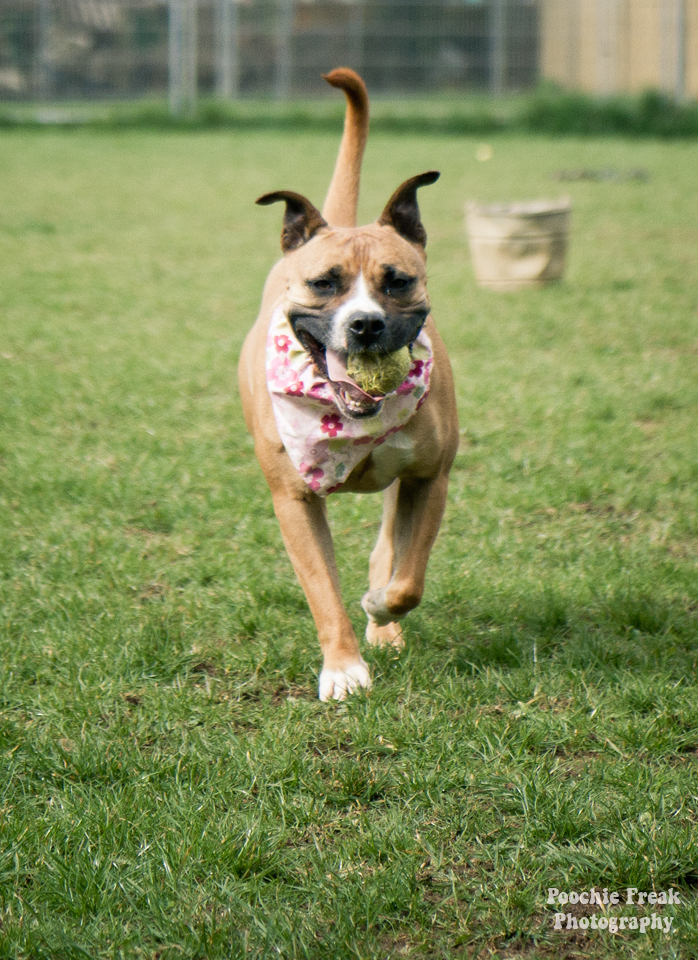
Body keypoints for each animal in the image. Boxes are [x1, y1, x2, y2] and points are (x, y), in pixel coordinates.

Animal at [237, 65, 460, 696]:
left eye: (398, 280)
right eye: (324, 283)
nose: (365, 324)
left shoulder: (429, 479)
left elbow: (406, 579)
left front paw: (380, 608)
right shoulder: (293, 500)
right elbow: (323, 592)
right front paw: (342, 669)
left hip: (399, 484)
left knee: (387, 551)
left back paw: (382, 620)